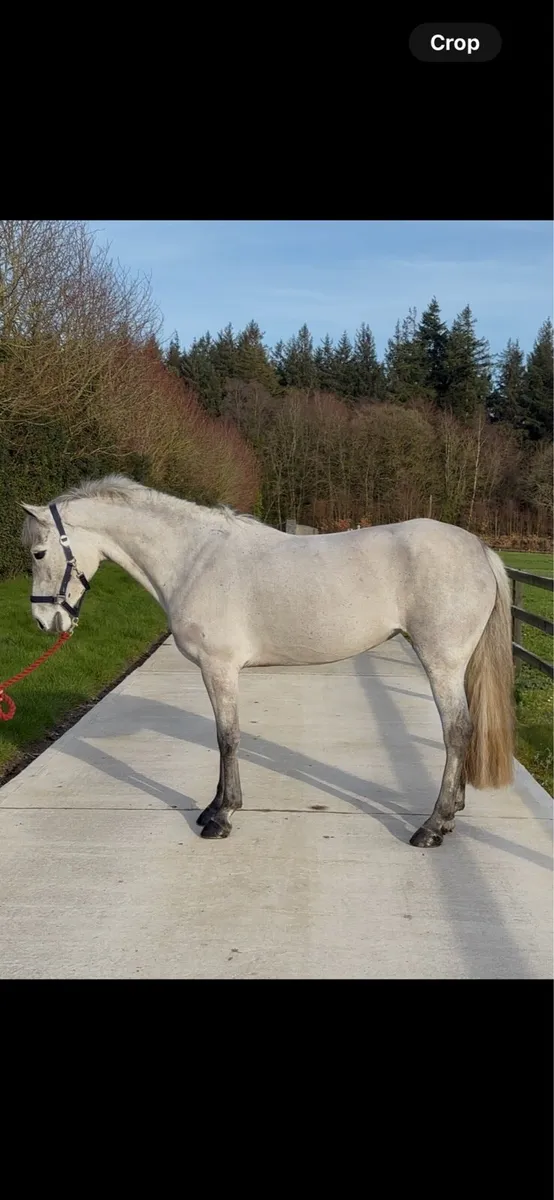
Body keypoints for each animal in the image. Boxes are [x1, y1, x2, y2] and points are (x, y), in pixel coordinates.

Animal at [20, 475, 515, 849]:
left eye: (38, 553)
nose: (45, 621)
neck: (194, 559)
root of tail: (479, 548)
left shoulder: (218, 668)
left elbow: (228, 738)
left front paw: (223, 816)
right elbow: (222, 736)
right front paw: (211, 808)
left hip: (442, 661)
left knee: (456, 730)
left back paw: (432, 826)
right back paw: (450, 815)